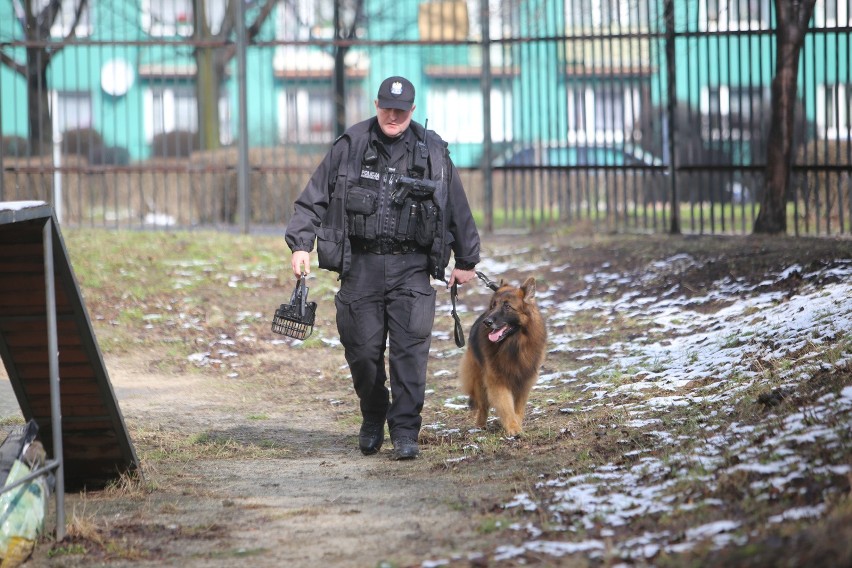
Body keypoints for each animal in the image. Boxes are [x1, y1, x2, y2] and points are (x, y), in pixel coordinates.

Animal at [460, 278, 544, 438]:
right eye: (493, 305)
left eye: (507, 306)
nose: (487, 322)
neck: (513, 346)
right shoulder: (497, 381)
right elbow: (506, 406)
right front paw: (513, 428)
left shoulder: (524, 381)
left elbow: (518, 408)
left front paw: (517, 424)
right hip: (480, 382)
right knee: (483, 406)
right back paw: (480, 426)